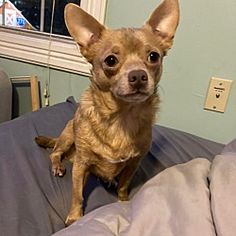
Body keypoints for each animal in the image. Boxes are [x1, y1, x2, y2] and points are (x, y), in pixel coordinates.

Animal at [35, 0, 179, 226]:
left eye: (153, 56)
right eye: (111, 60)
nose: (138, 76)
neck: (121, 117)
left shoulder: (133, 164)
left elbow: (124, 185)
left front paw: (123, 202)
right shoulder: (82, 165)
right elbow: (77, 194)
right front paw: (75, 216)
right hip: (68, 135)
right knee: (55, 152)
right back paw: (57, 165)